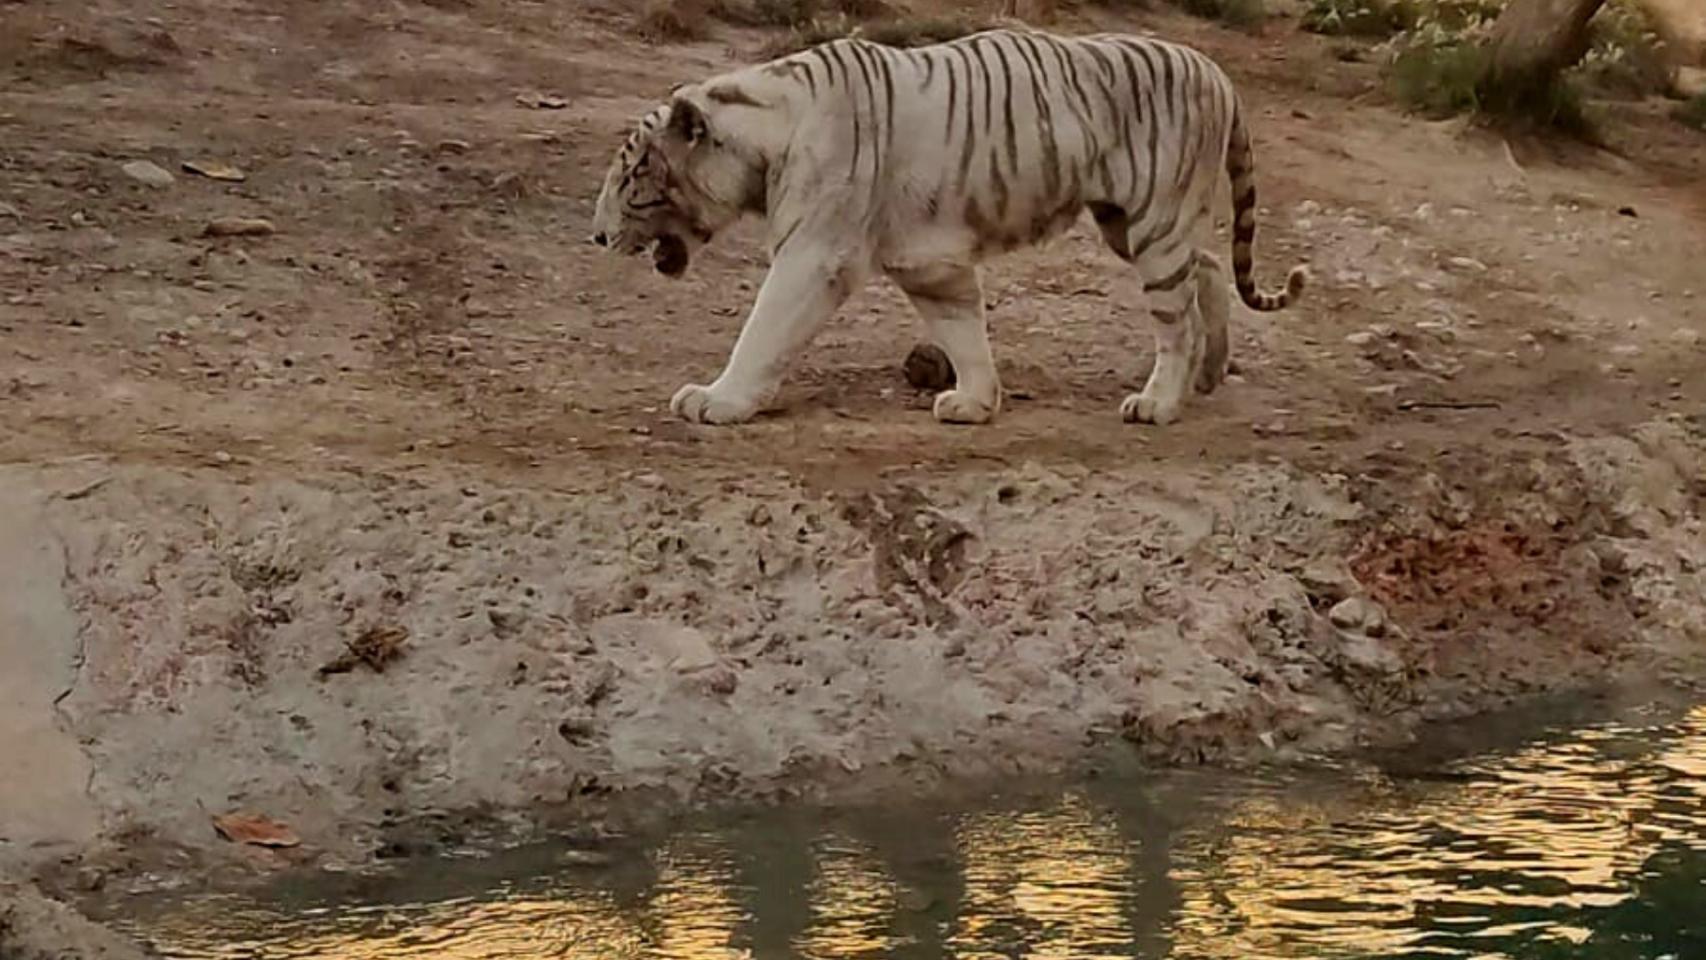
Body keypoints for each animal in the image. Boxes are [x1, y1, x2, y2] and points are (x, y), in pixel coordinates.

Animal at [586, 28, 1303, 426]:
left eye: (631, 176)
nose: (594, 236)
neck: (764, 141)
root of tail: (1217, 71)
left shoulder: (814, 256)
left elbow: (763, 332)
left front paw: (719, 400)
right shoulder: (930, 265)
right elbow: (963, 332)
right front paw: (976, 402)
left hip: (1153, 221)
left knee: (1177, 318)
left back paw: (1160, 403)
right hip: (1129, 223)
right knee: (1207, 267)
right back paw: (1209, 374)